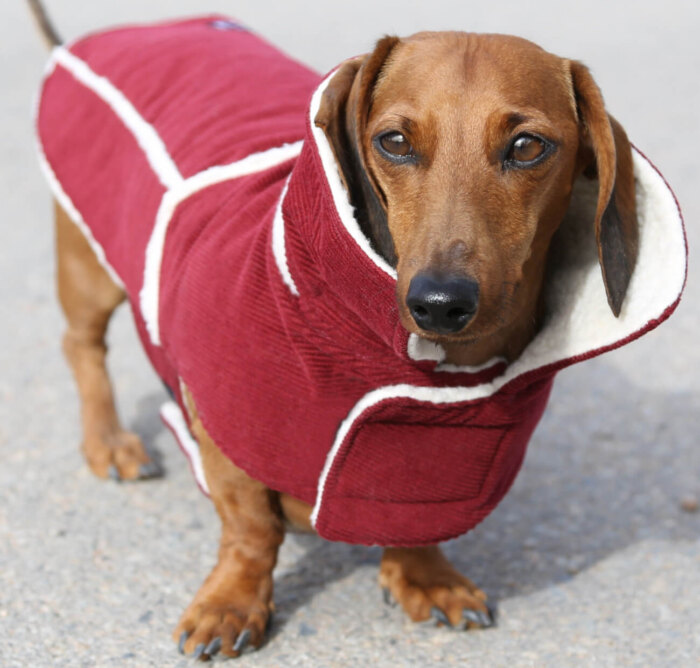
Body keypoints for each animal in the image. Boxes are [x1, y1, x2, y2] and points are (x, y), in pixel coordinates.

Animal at [28, 0, 644, 660]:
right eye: (394, 142)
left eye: (528, 146)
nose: (439, 303)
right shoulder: (220, 421)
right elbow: (251, 526)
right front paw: (231, 602)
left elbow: (413, 520)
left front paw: (425, 576)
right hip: (89, 267)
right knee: (81, 346)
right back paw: (109, 443)